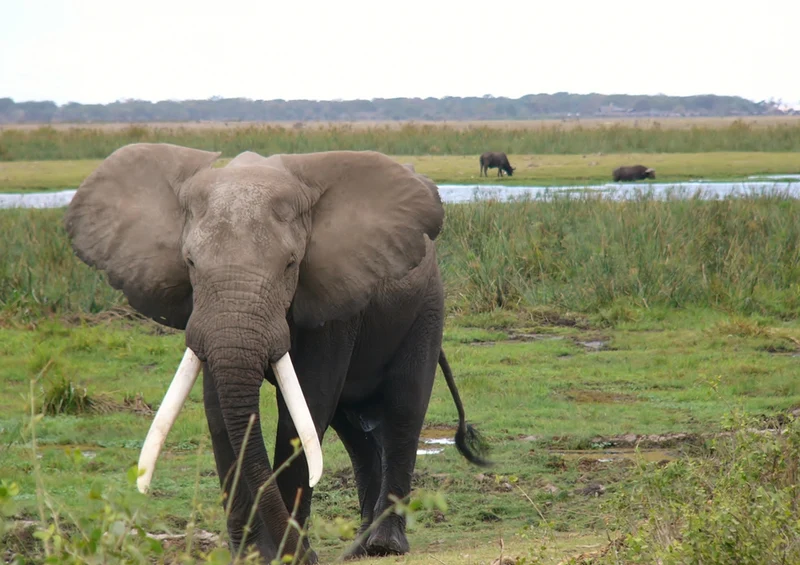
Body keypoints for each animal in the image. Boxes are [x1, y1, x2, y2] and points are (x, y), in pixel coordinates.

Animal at [63, 143, 490, 564]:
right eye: (190, 262)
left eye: (290, 264)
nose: (303, 554)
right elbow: (219, 411)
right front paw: (252, 555)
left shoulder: (331, 299)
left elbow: (306, 407)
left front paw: (292, 556)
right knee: (351, 428)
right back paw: (358, 548)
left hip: (425, 308)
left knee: (403, 408)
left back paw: (383, 545)